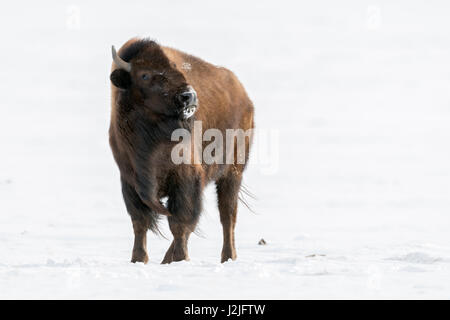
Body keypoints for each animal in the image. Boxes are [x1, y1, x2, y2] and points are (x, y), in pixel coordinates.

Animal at [109, 37, 255, 264]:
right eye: (145, 75)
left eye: (176, 69)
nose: (188, 96)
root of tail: (244, 96)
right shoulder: (130, 181)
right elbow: (140, 222)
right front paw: (138, 259)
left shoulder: (186, 177)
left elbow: (180, 222)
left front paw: (180, 258)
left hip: (232, 172)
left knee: (227, 215)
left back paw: (228, 257)